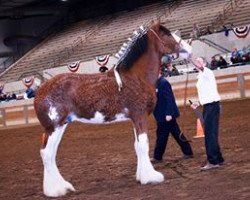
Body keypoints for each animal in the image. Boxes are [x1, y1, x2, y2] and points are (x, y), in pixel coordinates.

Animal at [33, 20, 182, 197]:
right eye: (166, 33)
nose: (183, 45)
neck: (135, 76)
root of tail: (40, 91)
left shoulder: (134, 118)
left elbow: (137, 145)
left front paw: (141, 176)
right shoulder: (140, 116)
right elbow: (143, 144)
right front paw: (151, 177)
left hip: (59, 126)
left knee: (49, 153)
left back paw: (59, 187)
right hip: (54, 127)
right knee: (47, 153)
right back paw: (57, 190)